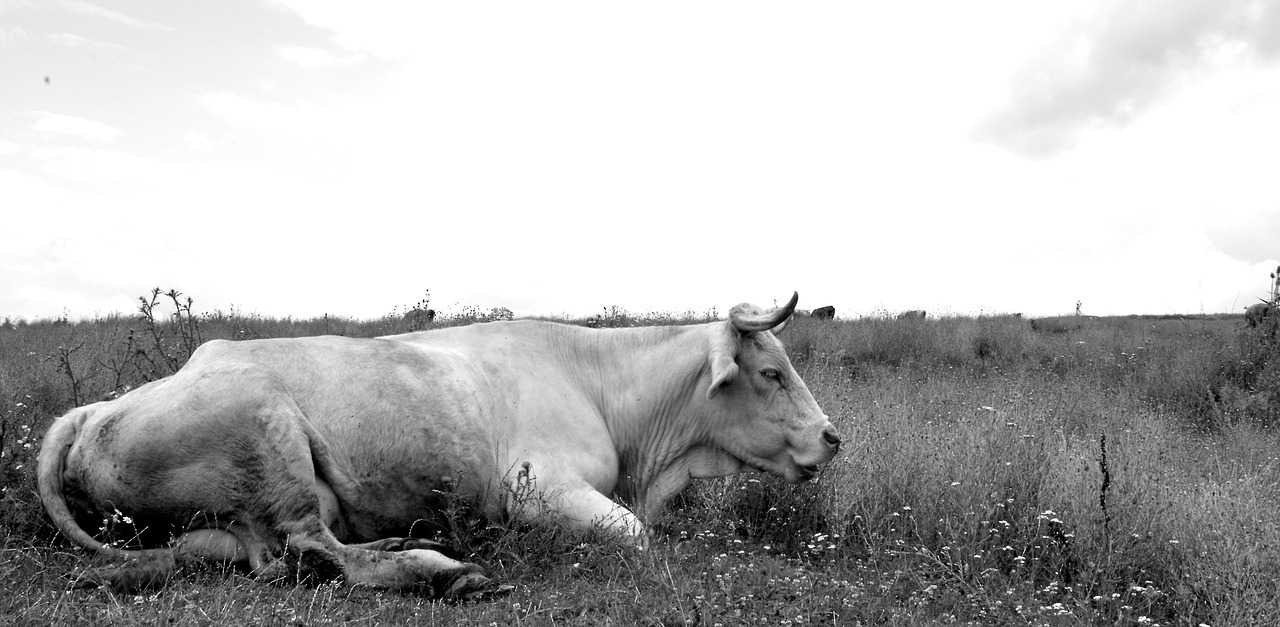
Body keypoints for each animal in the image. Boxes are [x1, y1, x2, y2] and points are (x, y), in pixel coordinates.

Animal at [37, 294, 839, 598]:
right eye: (771, 372)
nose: (831, 438)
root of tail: (94, 409)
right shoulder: (538, 487)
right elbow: (637, 536)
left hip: (222, 528)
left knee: (267, 557)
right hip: (271, 437)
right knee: (317, 551)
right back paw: (443, 569)